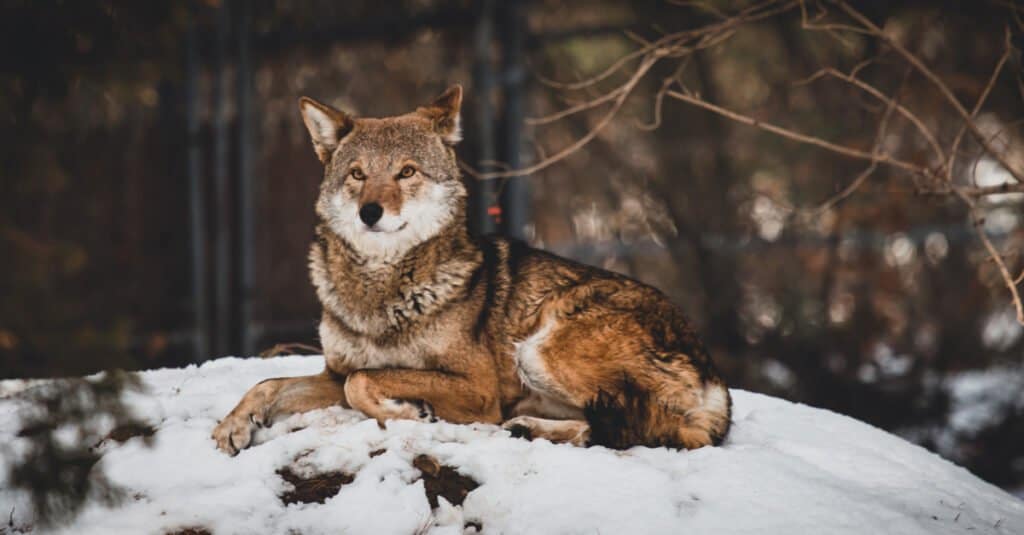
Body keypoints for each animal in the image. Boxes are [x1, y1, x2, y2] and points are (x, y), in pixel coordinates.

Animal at [211, 85, 733, 450]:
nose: (370, 212)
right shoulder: (333, 373)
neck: (379, 291)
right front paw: (233, 425)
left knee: (644, 429)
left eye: (406, 171)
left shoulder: (476, 389)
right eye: (357, 174)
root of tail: (717, 381)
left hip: (540, 346)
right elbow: (269, 383)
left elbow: (366, 382)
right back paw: (532, 428)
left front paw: (406, 415)